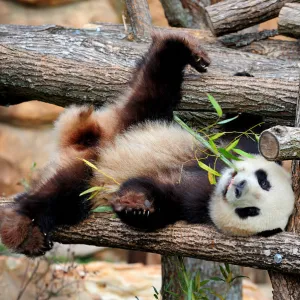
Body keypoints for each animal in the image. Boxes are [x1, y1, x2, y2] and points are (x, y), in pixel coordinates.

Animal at [0, 33, 292, 258]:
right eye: (263, 180)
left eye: (250, 212)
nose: (238, 186)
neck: (215, 180)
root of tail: (87, 142)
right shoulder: (228, 150)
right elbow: (242, 132)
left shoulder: (196, 206)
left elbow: (160, 200)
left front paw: (137, 206)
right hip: (135, 121)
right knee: (154, 86)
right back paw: (182, 46)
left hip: (91, 171)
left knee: (65, 194)